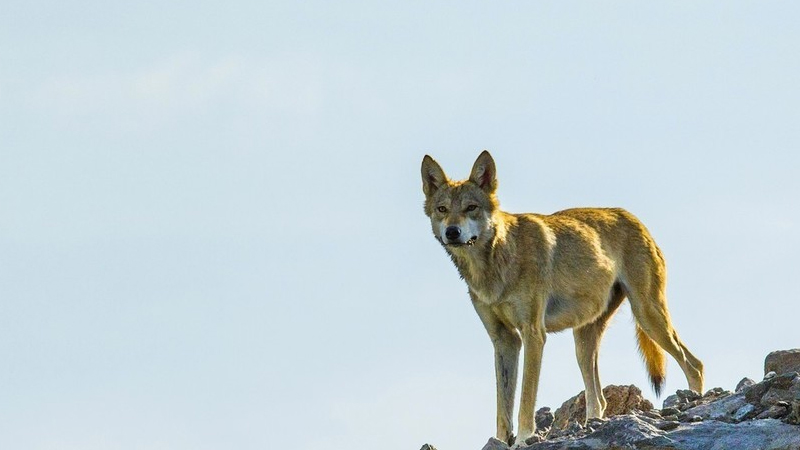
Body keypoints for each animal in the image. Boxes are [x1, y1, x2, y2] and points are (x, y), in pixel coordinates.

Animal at [422, 151, 704, 446]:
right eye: (442, 209)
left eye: (471, 208)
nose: (452, 232)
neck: (495, 262)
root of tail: (632, 217)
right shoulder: (504, 340)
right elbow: (503, 407)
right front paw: (500, 441)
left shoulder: (533, 334)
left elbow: (526, 399)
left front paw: (523, 439)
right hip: (584, 341)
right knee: (599, 399)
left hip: (648, 316)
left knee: (695, 365)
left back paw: (694, 400)